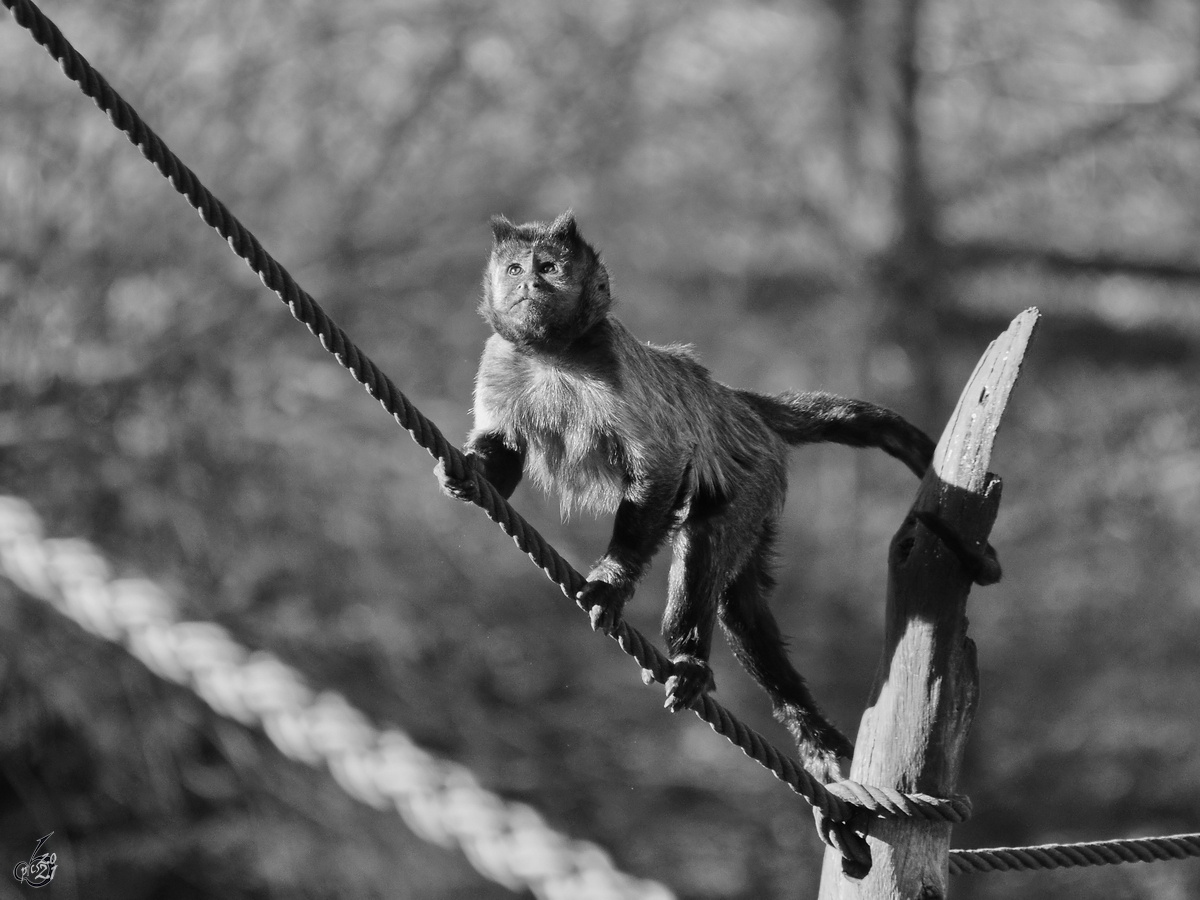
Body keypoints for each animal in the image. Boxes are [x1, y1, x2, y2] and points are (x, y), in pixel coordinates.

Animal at [436, 211, 998, 782]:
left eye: (549, 267)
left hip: (755, 481)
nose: (529, 283)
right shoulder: (499, 360)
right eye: (514, 268)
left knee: (704, 549)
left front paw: (613, 581)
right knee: (742, 609)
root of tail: (735, 401)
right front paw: (470, 473)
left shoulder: (612, 365)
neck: (552, 354)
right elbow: (504, 448)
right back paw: (807, 727)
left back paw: (689, 659)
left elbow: (662, 466)